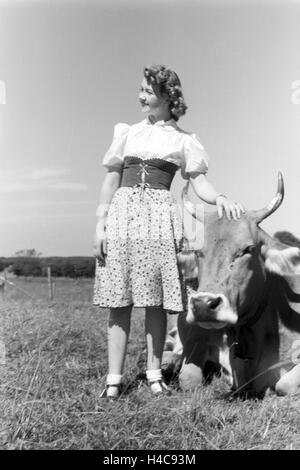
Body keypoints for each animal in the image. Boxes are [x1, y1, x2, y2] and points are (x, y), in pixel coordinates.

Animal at [165, 174, 300, 398]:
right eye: (198, 252)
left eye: (249, 249)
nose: (203, 305)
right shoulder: (197, 341)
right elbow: (189, 378)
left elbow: (284, 384)